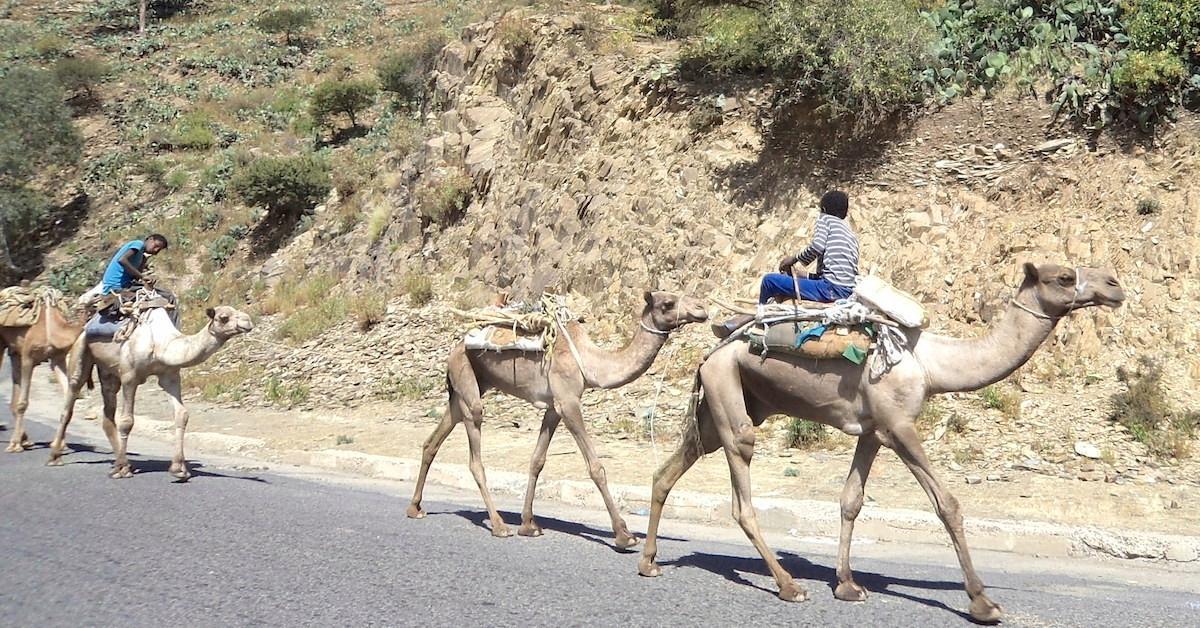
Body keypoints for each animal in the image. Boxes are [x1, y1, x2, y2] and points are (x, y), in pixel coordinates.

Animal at [1, 298, 83, 451]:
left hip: (14, 351)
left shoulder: (57, 358)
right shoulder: (28, 357)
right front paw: (15, 445)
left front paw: (59, 444)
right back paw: (19, 441)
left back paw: (25, 440)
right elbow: (23, 403)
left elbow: (67, 400)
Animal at [46, 306, 253, 482]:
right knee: (70, 401)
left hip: (108, 370)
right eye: (224, 317)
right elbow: (127, 421)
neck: (160, 344)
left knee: (108, 410)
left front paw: (179, 469)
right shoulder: (130, 375)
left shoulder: (170, 376)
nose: (248, 321)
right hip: (81, 354)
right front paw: (122, 471)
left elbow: (182, 414)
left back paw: (122, 462)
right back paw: (55, 456)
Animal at [408, 292, 705, 547]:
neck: (591, 363)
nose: (701, 309)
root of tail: (457, 345)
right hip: (468, 381)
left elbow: (537, 460)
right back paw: (498, 525)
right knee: (475, 454)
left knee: (432, 441)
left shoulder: (553, 408)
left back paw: (415, 508)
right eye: (667, 303)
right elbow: (596, 467)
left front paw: (529, 524)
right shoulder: (568, 402)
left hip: (465, 388)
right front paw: (624, 535)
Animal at [638, 262, 1123, 619]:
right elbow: (947, 505)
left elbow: (851, 500)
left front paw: (848, 585)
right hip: (730, 398)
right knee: (741, 490)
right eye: (1063, 277)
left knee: (670, 469)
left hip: (727, 403)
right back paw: (788, 586)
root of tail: (708, 355)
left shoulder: (872, 432)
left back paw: (649, 562)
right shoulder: (899, 426)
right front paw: (983, 603)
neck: (930, 363)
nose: (1115, 285)